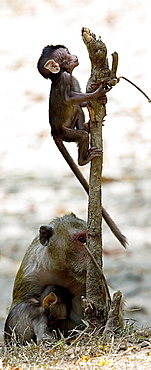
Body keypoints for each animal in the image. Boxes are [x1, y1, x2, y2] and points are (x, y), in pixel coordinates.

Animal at [37, 45, 127, 249]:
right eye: (66, 55)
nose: (76, 56)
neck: (60, 75)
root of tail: (53, 131)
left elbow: (79, 102)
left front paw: (96, 100)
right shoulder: (65, 78)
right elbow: (70, 98)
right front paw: (97, 94)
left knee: (78, 111)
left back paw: (86, 126)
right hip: (66, 133)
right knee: (82, 135)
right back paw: (83, 158)